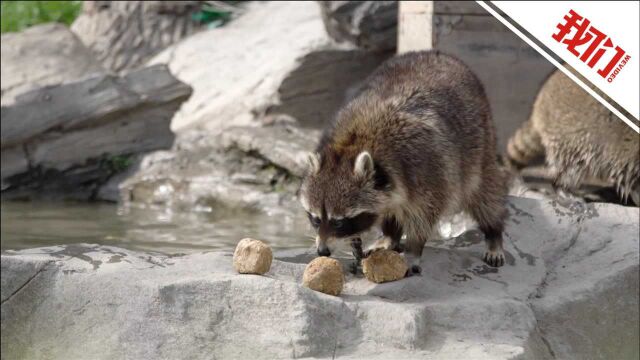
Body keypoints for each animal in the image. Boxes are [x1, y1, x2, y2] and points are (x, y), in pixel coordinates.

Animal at [298, 51, 510, 276]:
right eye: (316, 219)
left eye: (339, 222)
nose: (323, 251)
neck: (353, 144)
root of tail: (441, 54)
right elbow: (390, 210)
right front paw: (369, 238)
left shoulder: (427, 170)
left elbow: (424, 214)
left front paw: (413, 249)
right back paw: (390, 235)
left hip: (481, 144)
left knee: (485, 194)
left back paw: (494, 234)